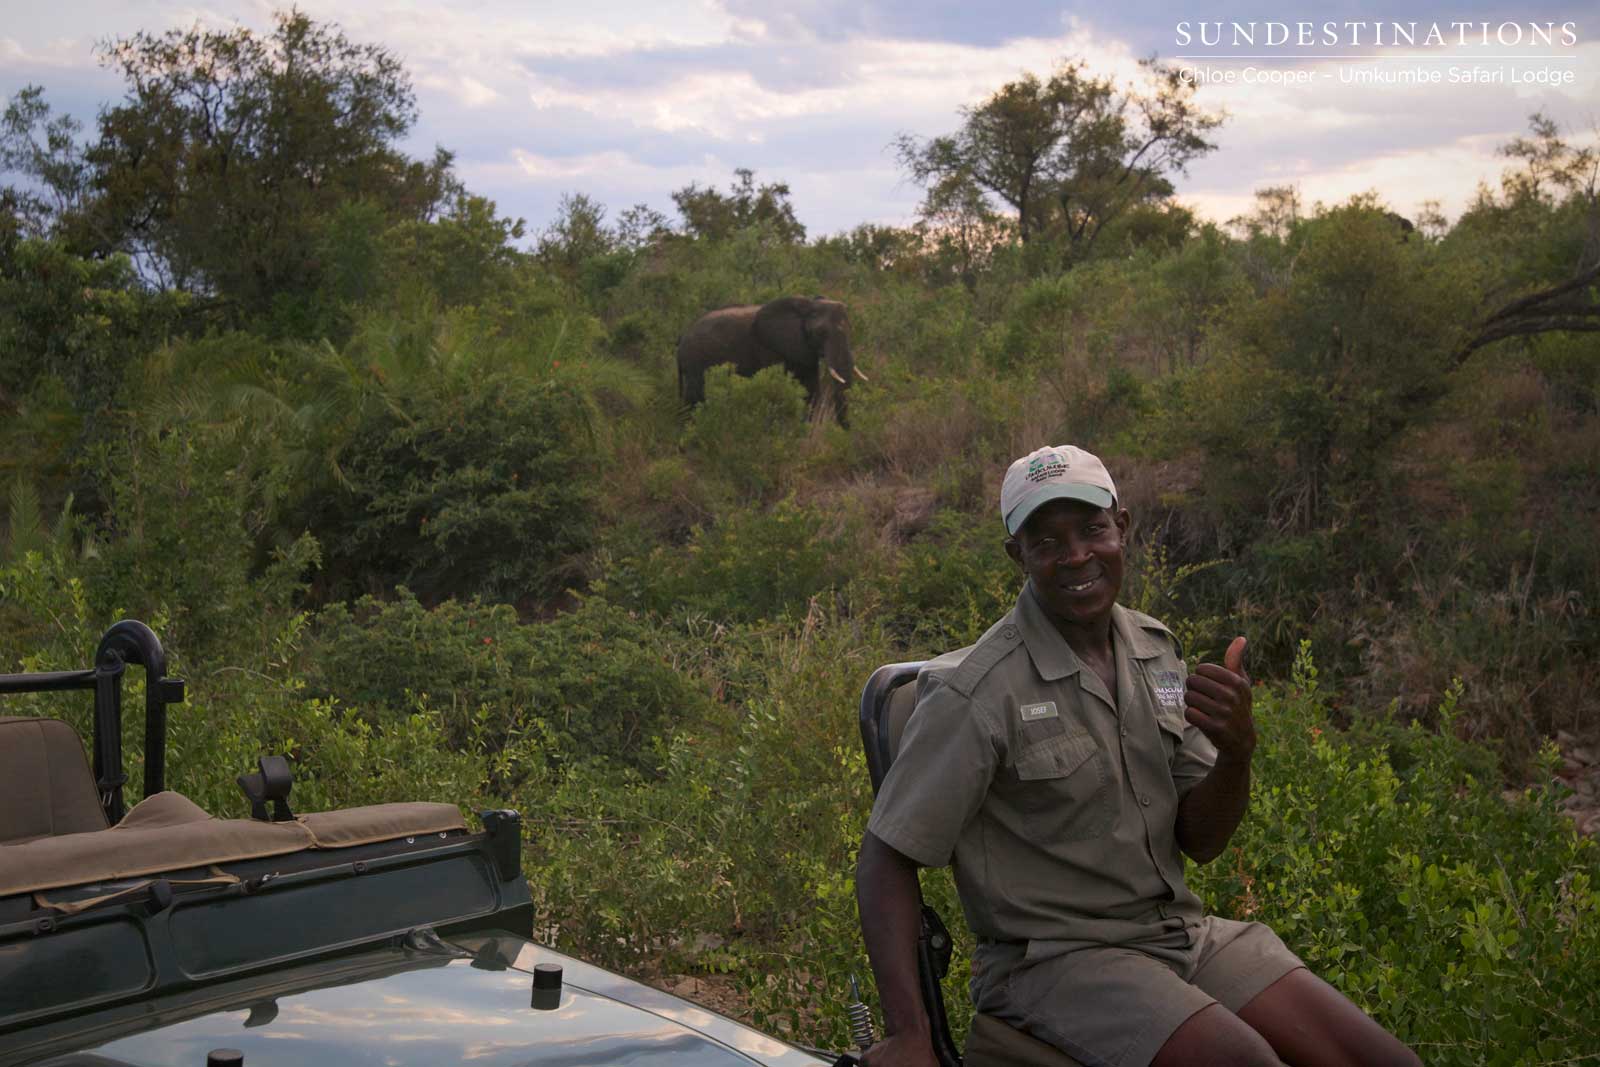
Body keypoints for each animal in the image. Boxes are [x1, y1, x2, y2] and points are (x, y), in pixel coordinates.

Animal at [681, 294, 870, 428]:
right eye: (820, 333)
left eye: (851, 330)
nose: (846, 430)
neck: (807, 305)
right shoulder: (769, 346)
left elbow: (811, 389)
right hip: (693, 362)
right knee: (693, 401)